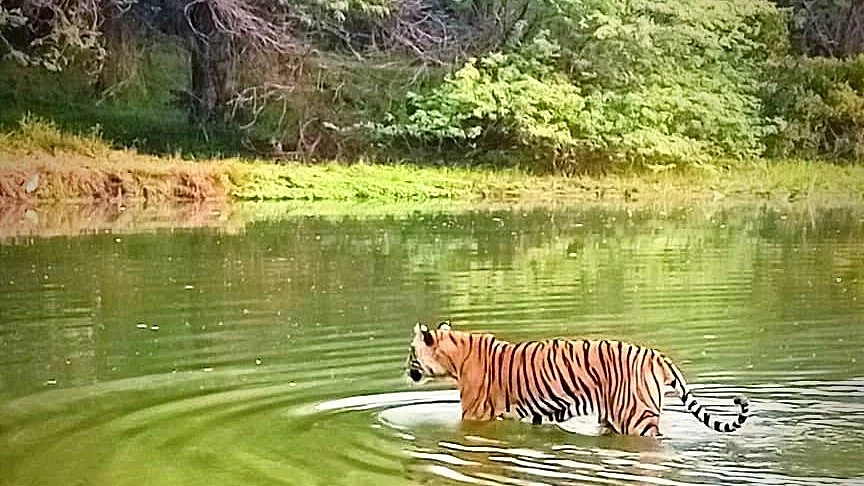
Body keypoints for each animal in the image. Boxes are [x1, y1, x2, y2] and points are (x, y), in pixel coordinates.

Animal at [406, 321, 749, 437]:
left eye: (410, 352)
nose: (406, 370)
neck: (455, 354)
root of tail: (656, 355)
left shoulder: (475, 414)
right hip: (612, 415)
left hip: (636, 418)